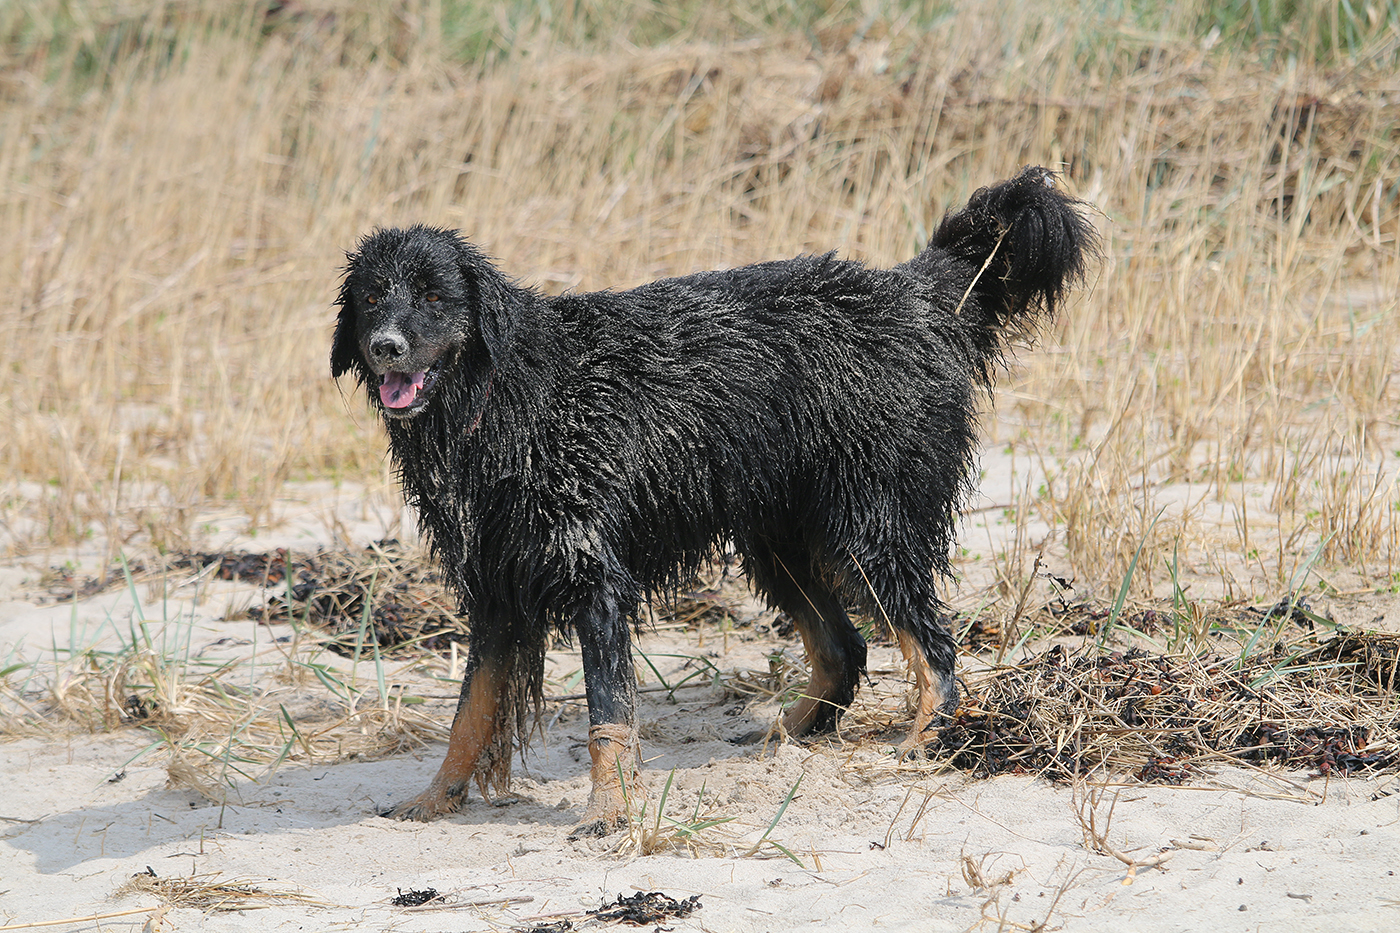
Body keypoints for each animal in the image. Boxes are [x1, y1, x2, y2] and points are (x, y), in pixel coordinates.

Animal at [332, 166, 1094, 834]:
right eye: (371, 297)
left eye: (434, 296)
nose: (386, 346)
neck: (509, 402)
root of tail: (917, 291)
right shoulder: (495, 589)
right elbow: (469, 715)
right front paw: (435, 798)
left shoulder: (595, 581)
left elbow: (607, 717)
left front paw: (610, 814)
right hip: (779, 542)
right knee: (843, 646)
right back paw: (788, 735)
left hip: (870, 527)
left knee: (931, 642)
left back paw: (926, 735)